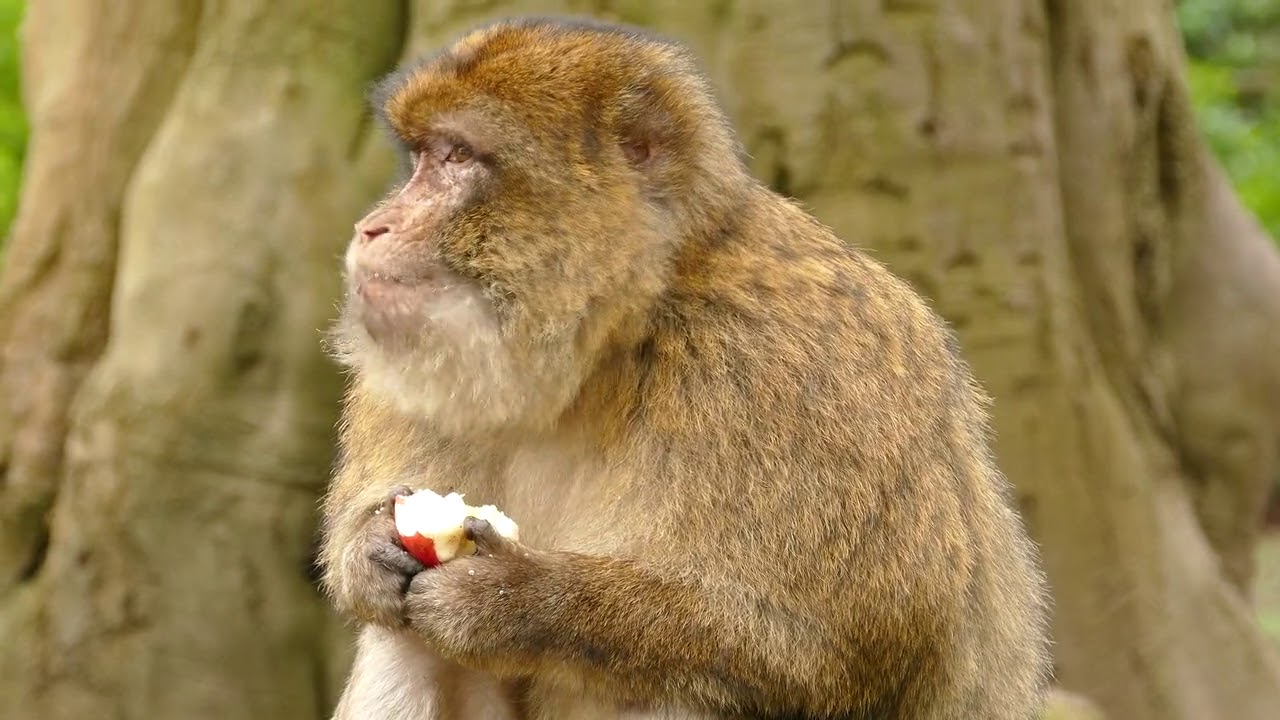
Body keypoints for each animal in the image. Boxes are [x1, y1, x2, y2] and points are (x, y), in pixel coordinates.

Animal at [319, 15, 1052, 720]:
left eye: (458, 155)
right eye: (421, 156)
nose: (372, 227)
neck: (615, 343)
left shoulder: (795, 373)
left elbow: (846, 650)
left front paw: (513, 599)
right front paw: (369, 550)